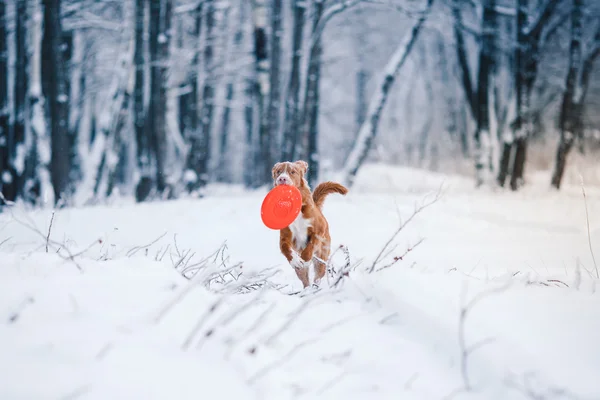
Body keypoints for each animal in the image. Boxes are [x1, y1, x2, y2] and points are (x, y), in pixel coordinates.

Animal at [270, 161, 350, 290]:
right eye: (278, 171)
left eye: (292, 172)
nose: (282, 178)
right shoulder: (285, 236)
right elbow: (285, 248)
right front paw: (295, 261)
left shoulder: (318, 231)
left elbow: (311, 245)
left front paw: (305, 259)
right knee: (305, 280)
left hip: (322, 257)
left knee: (318, 276)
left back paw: (314, 288)